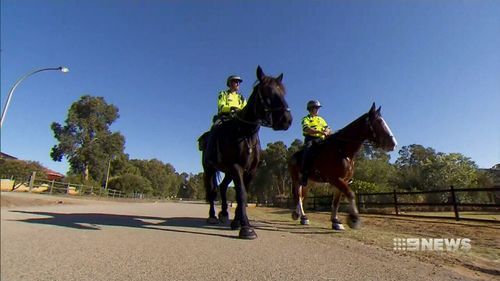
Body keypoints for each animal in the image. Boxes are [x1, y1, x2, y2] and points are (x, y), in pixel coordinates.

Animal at [199, 65, 292, 238]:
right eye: (267, 91)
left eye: (283, 92)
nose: (286, 120)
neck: (244, 133)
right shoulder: (237, 167)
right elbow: (241, 194)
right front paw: (246, 228)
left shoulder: (250, 170)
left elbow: (243, 194)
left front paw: (237, 222)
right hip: (209, 169)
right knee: (212, 191)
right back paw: (213, 216)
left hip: (227, 171)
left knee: (222, 187)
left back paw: (224, 214)